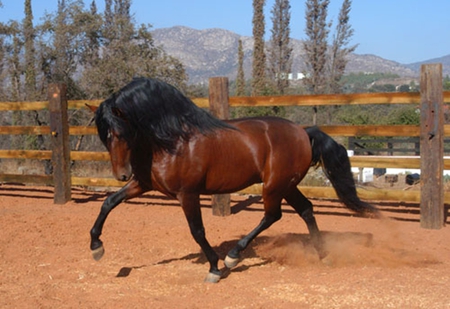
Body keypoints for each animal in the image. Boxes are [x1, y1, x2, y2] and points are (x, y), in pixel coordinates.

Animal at [88, 76, 380, 282]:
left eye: (121, 132)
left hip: (274, 186)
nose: (121, 174)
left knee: (273, 215)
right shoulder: (144, 184)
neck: (172, 140)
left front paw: (215, 268)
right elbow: (108, 202)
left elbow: (197, 231)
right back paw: (323, 255)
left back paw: (233, 256)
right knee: (306, 210)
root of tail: (303, 132)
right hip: (287, 185)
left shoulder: (187, 193)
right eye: (105, 135)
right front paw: (96, 247)